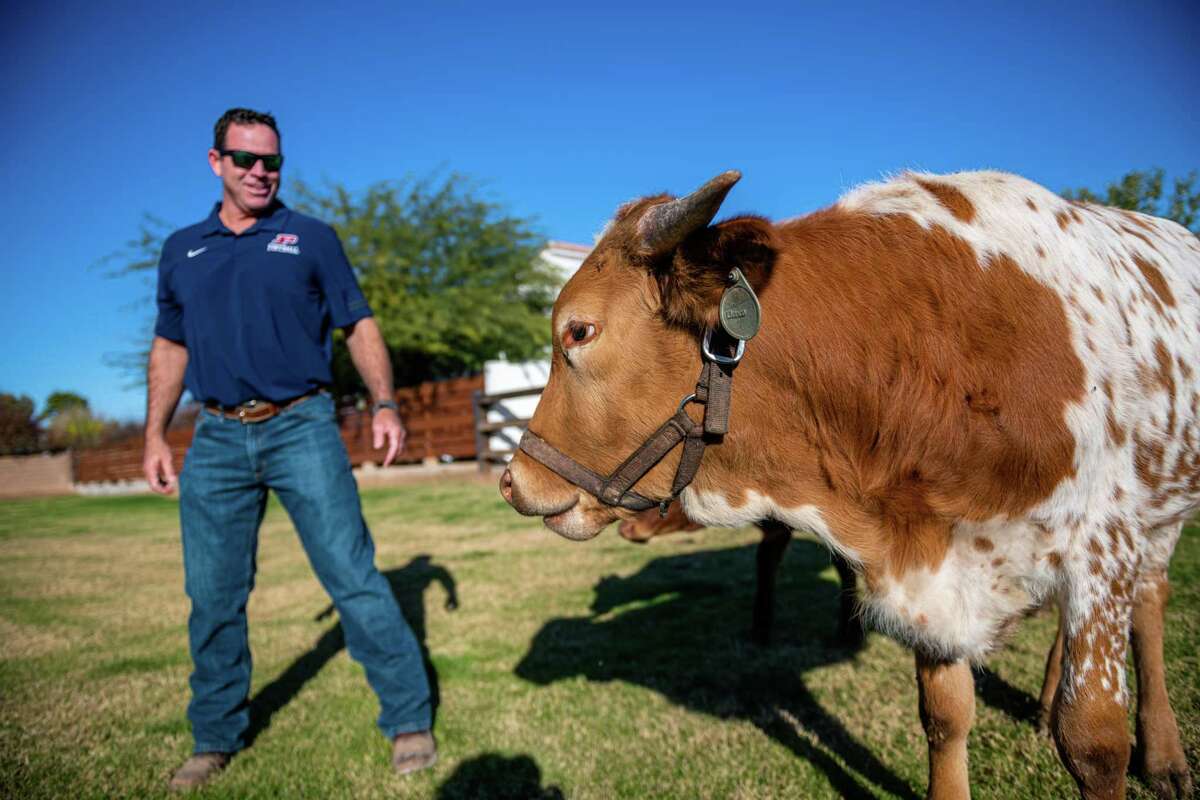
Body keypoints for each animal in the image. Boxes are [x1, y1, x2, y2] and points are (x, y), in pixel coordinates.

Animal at [504, 170, 1200, 800]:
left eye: (579, 331)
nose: (513, 480)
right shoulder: (931, 572)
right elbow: (945, 717)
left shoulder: (1101, 547)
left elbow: (1094, 741)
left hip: (1159, 519)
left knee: (1150, 604)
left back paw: (1163, 755)